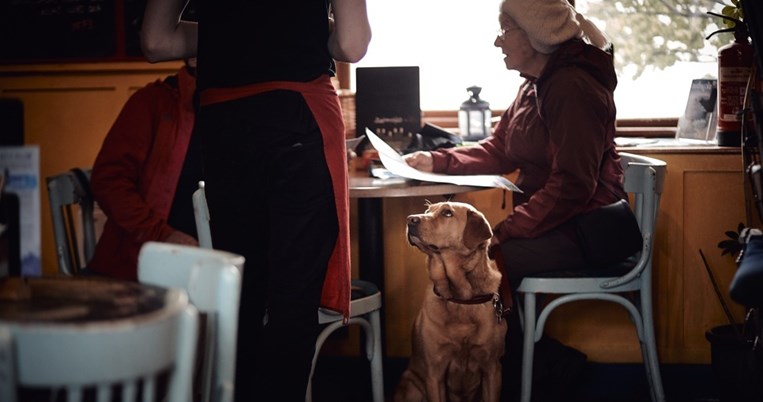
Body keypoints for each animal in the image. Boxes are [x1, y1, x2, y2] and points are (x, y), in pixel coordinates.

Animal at [396, 203, 510, 400]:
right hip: (412, 385)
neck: (460, 297)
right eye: (427, 211)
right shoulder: (434, 373)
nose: (410, 219)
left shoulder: (493, 368)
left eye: (447, 213)